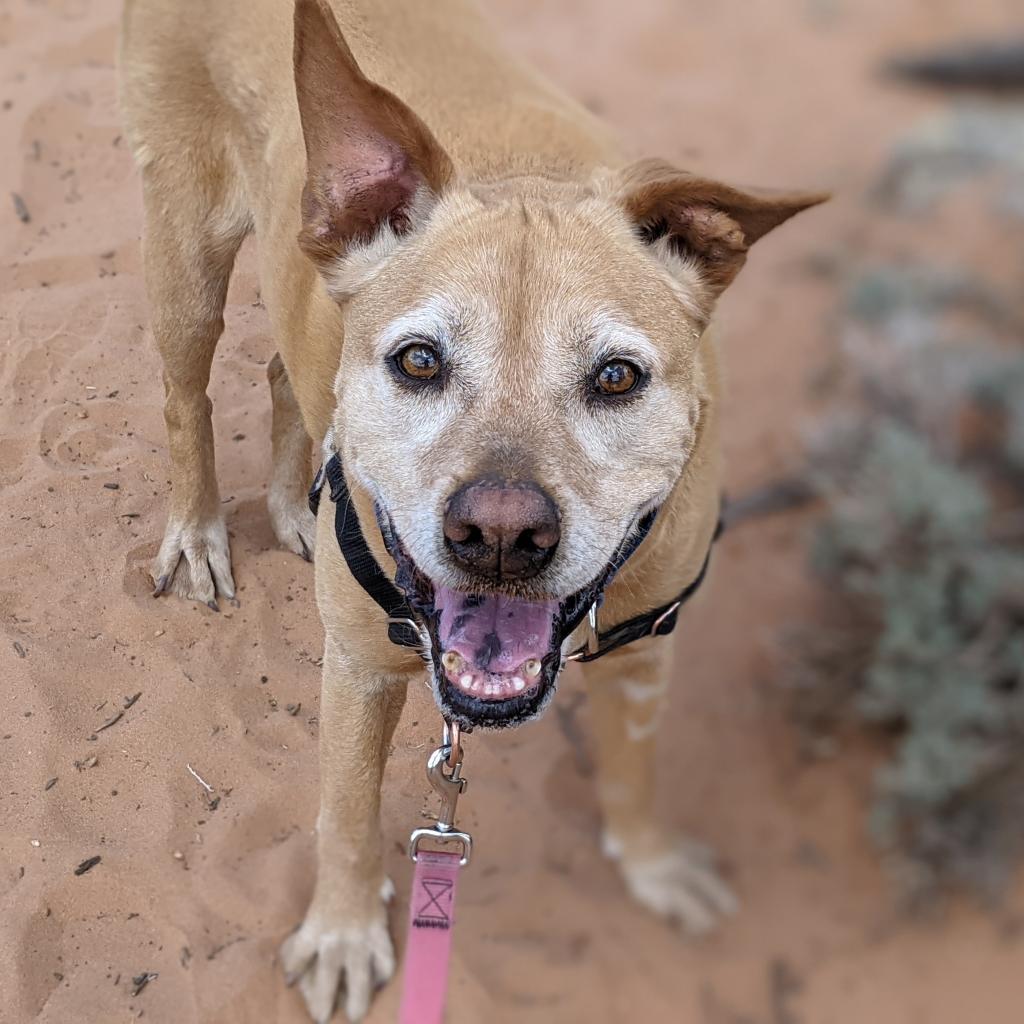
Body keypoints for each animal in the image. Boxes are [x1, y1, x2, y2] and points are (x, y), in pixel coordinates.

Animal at [119, 4, 823, 1019]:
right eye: (418, 360)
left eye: (619, 376)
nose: (499, 536)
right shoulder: (357, 673)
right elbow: (345, 817)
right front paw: (342, 932)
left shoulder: (646, 656)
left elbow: (635, 776)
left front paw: (652, 866)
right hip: (184, 253)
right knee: (187, 394)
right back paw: (198, 534)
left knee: (284, 371)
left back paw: (294, 501)